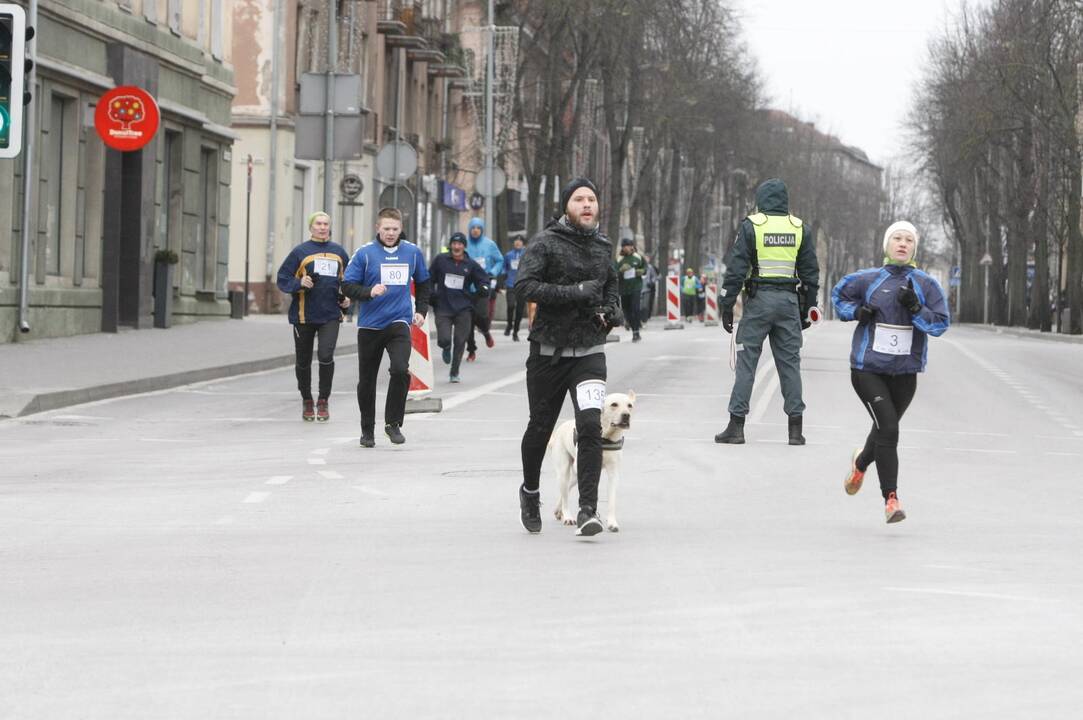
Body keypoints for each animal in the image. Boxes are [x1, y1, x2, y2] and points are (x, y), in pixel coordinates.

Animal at [550, 389, 632, 530]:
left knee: (567, 487)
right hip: (564, 470)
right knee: (565, 493)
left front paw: (612, 522)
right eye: (614, 404)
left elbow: (611, 500)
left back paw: (558, 509)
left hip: (574, 475)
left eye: (630, 405)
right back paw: (567, 516)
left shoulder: (613, 473)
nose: (626, 415)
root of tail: (561, 427)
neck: (606, 437)